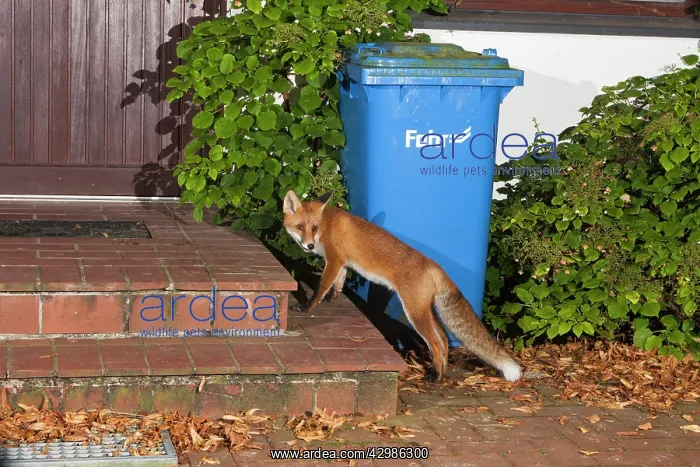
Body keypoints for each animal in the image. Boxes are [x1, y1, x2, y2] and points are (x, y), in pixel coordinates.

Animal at [282, 189, 522, 383]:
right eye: (300, 227)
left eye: (314, 228)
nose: (309, 245)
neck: (327, 224)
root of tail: (434, 265)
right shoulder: (341, 262)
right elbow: (338, 283)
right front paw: (332, 299)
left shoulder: (334, 259)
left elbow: (321, 287)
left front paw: (307, 306)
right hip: (425, 311)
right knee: (444, 339)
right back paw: (441, 373)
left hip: (414, 312)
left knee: (436, 342)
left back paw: (434, 377)